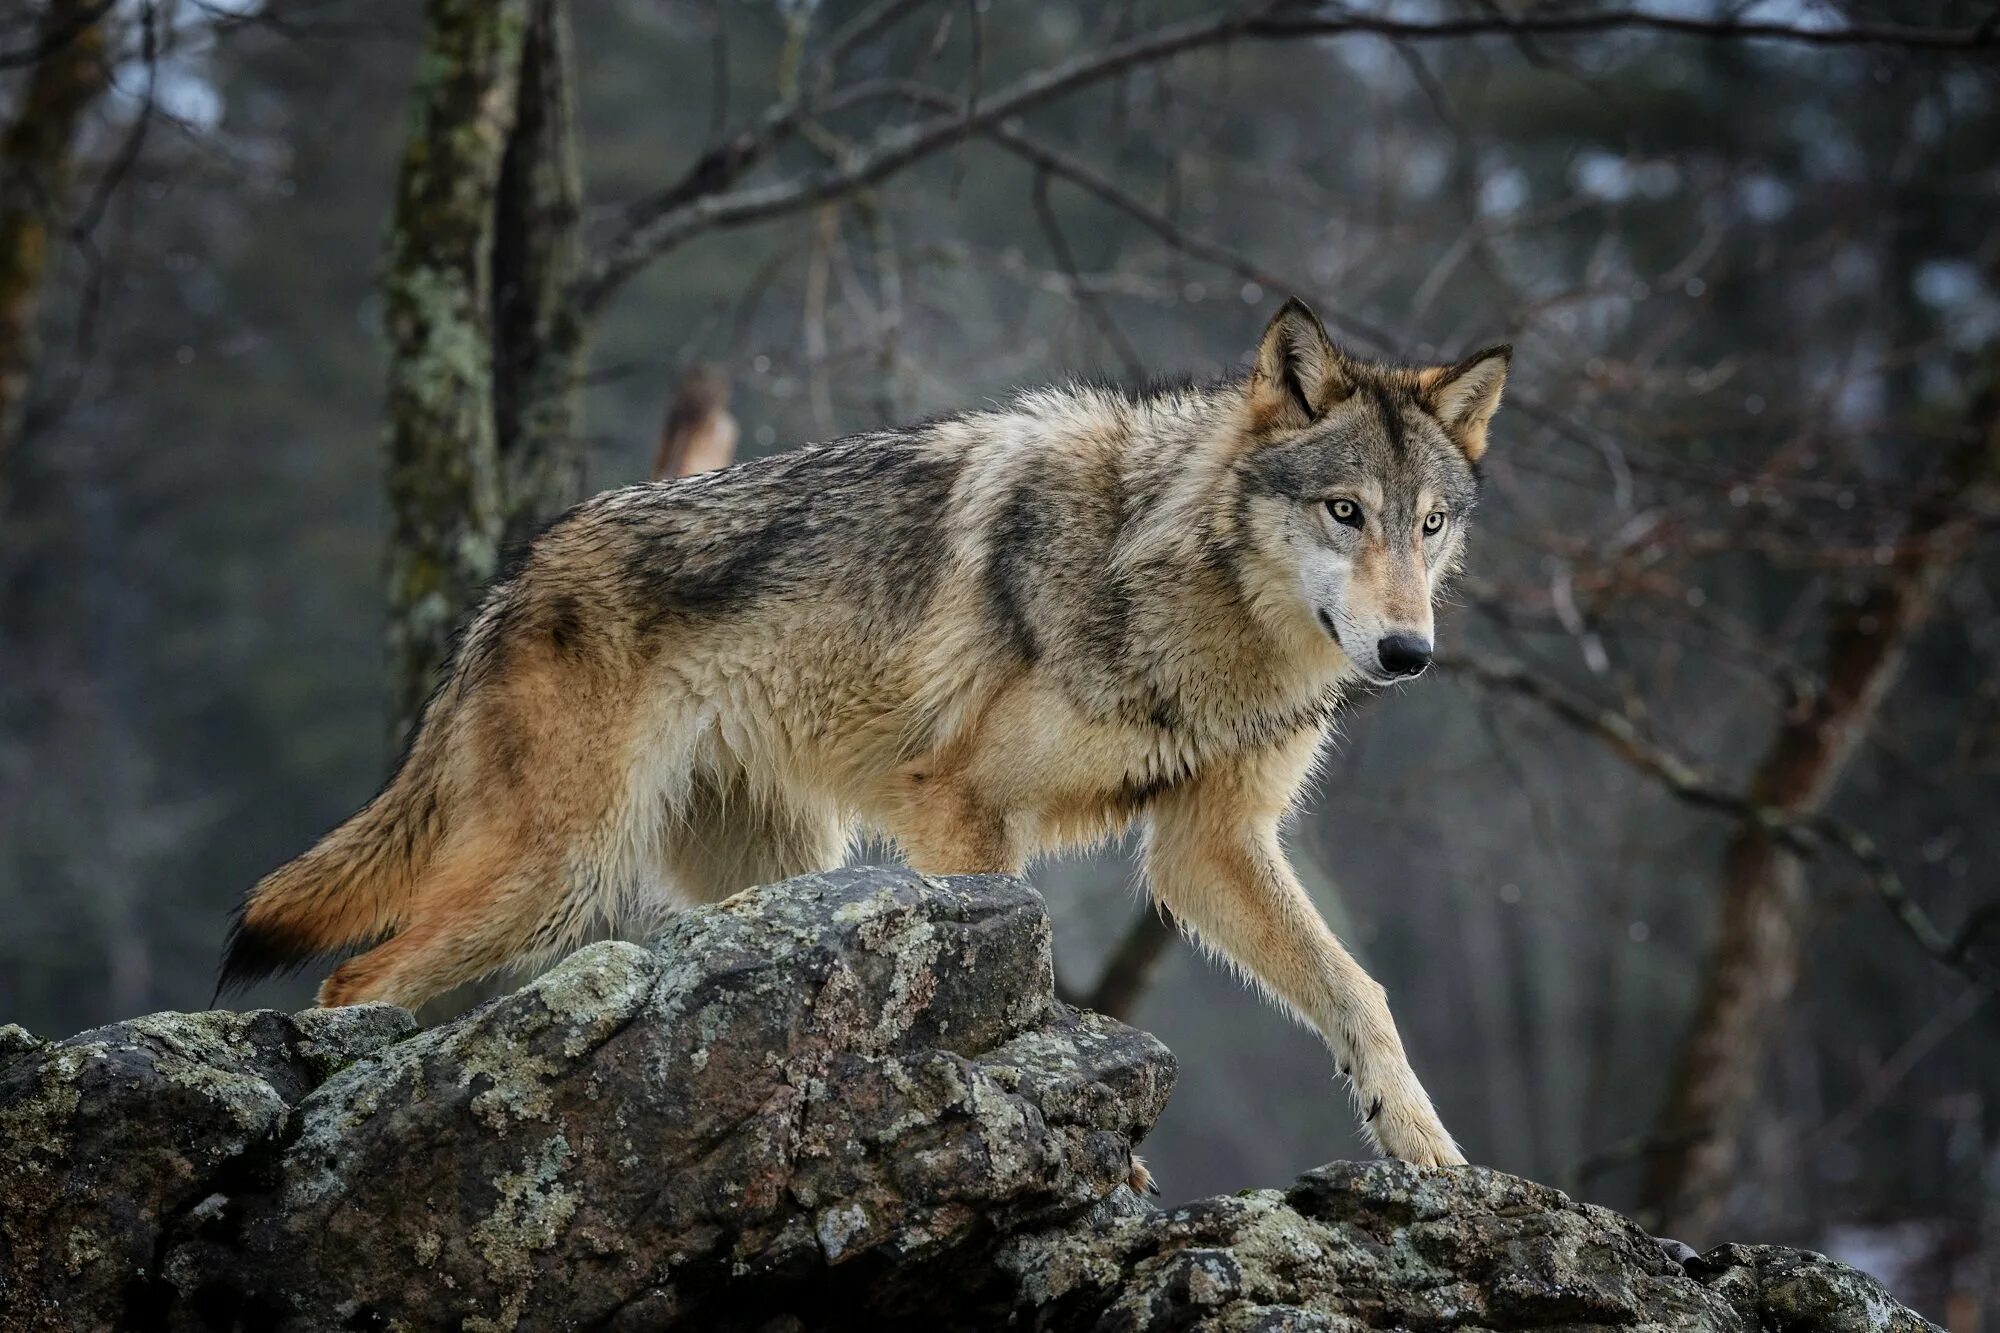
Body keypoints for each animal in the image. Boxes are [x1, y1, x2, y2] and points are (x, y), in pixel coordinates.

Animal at [223, 298, 1504, 1160]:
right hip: (557, 874)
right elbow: (1028, 982)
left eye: (1427, 524)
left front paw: (1429, 1156)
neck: (1178, 592)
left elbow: (1357, 994)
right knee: (355, 979)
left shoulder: (1206, 846)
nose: (1406, 652)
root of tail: (518, 573)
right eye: (1343, 512)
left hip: (779, 879)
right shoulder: (963, 811)